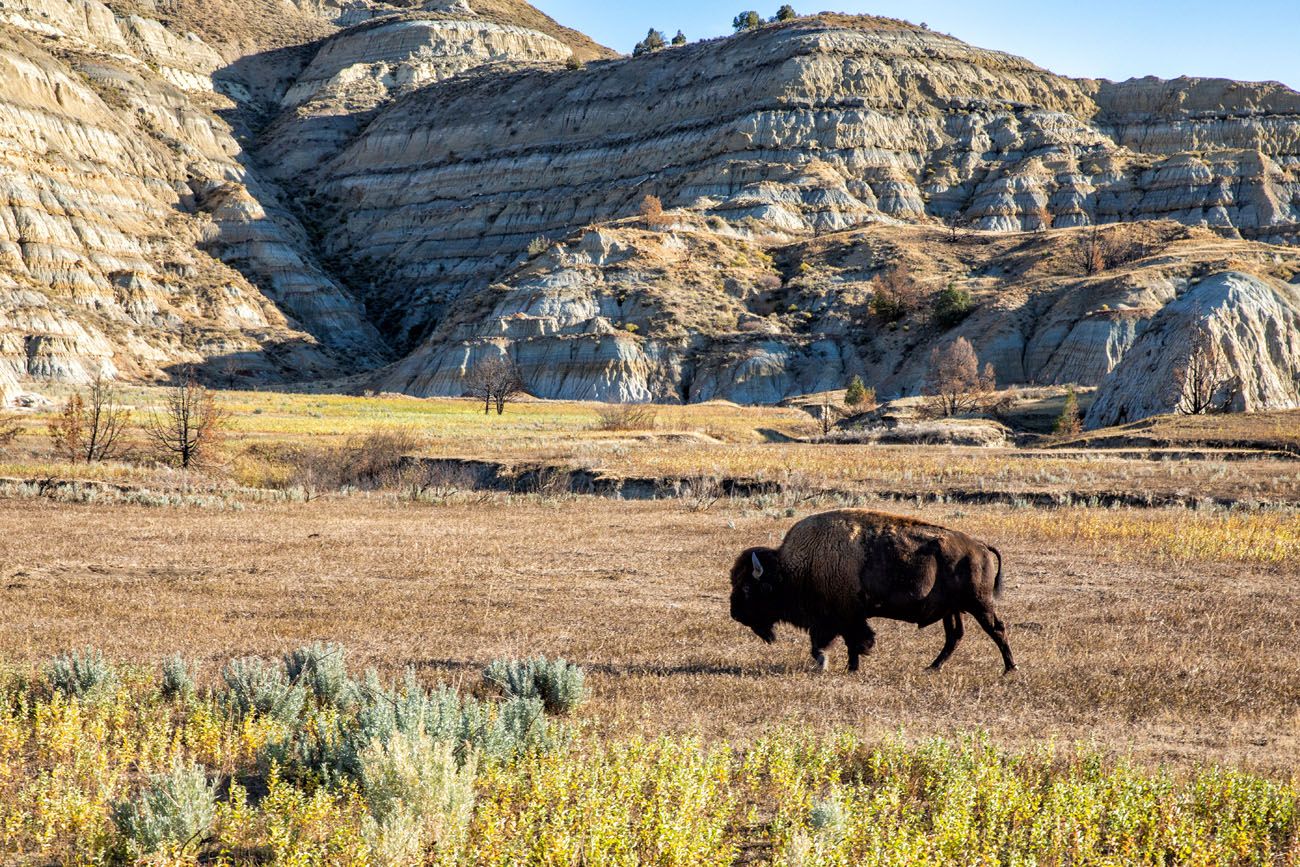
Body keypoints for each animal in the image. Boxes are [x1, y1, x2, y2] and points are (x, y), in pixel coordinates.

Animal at [733, 512, 1013, 675]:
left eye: (747, 587)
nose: (735, 614)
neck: (795, 566)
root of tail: (979, 546)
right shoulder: (837, 619)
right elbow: (843, 643)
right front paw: (846, 666)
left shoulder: (844, 617)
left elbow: (849, 641)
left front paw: (838, 665)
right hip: (952, 610)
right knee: (954, 636)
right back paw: (932, 667)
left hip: (980, 604)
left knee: (996, 629)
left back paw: (1010, 669)